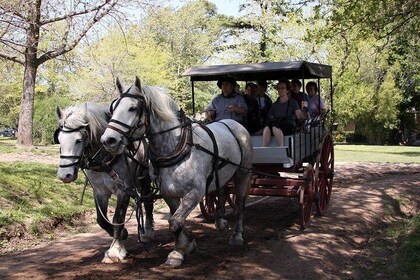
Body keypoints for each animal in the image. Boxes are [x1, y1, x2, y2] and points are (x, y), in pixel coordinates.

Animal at [55, 102, 155, 262]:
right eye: (59, 139)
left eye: (78, 140)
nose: (65, 175)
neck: (105, 159)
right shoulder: (99, 192)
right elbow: (101, 220)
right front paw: (123, 233)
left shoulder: (123, 190)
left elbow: (118, 218)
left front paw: (115, 250)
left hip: (145, 179)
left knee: (148, 202)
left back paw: (148, 231)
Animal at [101, 76, 253, 266]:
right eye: (113, 108)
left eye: (133, 108)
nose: (108, 140)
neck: (176, 147)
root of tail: (233, 123)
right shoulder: (169, 193)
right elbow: (175, 219)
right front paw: (185, 245)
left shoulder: (195, 192)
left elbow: (174, 222)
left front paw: (178, 251)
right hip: (223, 174)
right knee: (222, 191)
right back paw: (220, 222)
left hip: (243, 173)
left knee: (239, 203)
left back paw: (237, 235)